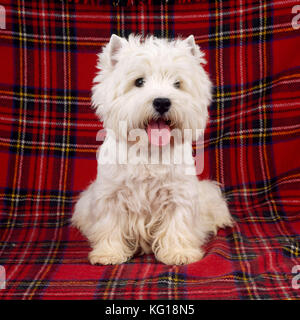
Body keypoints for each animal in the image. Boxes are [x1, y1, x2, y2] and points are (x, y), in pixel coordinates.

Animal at [72, 34, 232, 264]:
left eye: (177, 83)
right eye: (139, 81)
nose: (162, 102)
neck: (148, 151)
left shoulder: (178, 195)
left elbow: (177, 224)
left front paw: (178, 253)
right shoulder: (111, 195)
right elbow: (110, 225)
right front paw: (109, 253)